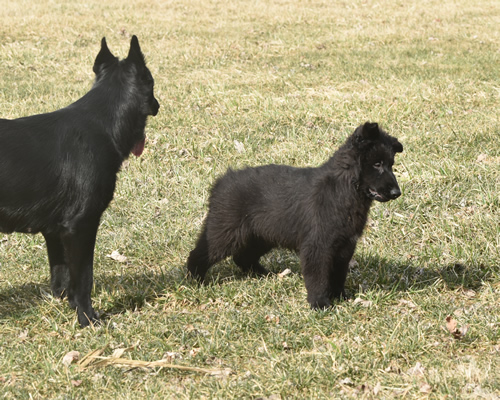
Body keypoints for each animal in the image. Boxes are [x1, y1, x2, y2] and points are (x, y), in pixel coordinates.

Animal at [0, 35, 158, 328]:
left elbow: (61, 276)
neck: (103, 123)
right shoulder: (81, 226)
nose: (158, 105)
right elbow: (84, 278)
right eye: (151, 81)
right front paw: (87, 318)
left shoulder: (54, 232)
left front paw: (65, 304)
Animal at [187, 123, 402, 308]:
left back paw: (262, 274)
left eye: (391, 164)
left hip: (262, 236)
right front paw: (320, 303)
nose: (396, 193)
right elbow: (318, 277)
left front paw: (340, 296)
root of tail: (220, 182)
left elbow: (338, 274)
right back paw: (194, 280)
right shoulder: (317, 246)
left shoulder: (345, 245)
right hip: (225, 234)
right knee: (199, 254)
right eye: (377, 164)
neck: (344, 187)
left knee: (242, 257)